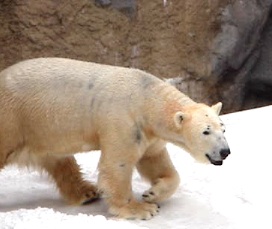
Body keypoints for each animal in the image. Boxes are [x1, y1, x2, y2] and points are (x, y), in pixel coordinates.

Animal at [0, 58, 231, 219]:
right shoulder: (123, 121)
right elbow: (118, 164)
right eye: (206, 131)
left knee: (58, 161)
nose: (225, 152)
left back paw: (86, 192)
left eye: (223, 129)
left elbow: (155, 161)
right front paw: (140, 209)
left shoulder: (148, 134)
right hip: (12, 119)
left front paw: (152, 193)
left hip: (40, 131)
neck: (146, 97)